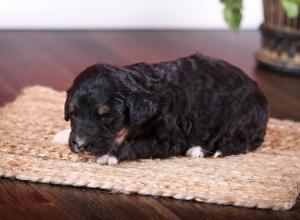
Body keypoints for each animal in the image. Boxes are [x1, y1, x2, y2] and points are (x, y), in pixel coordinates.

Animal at [52, 53, 268, 165]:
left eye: (107, 116)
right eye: (73, 113)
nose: (80, 144)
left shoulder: (170, 138)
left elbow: (136, 144)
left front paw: (109, 155)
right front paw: (62, 134)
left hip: (240, 119)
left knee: (242, 142)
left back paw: (203, 150)